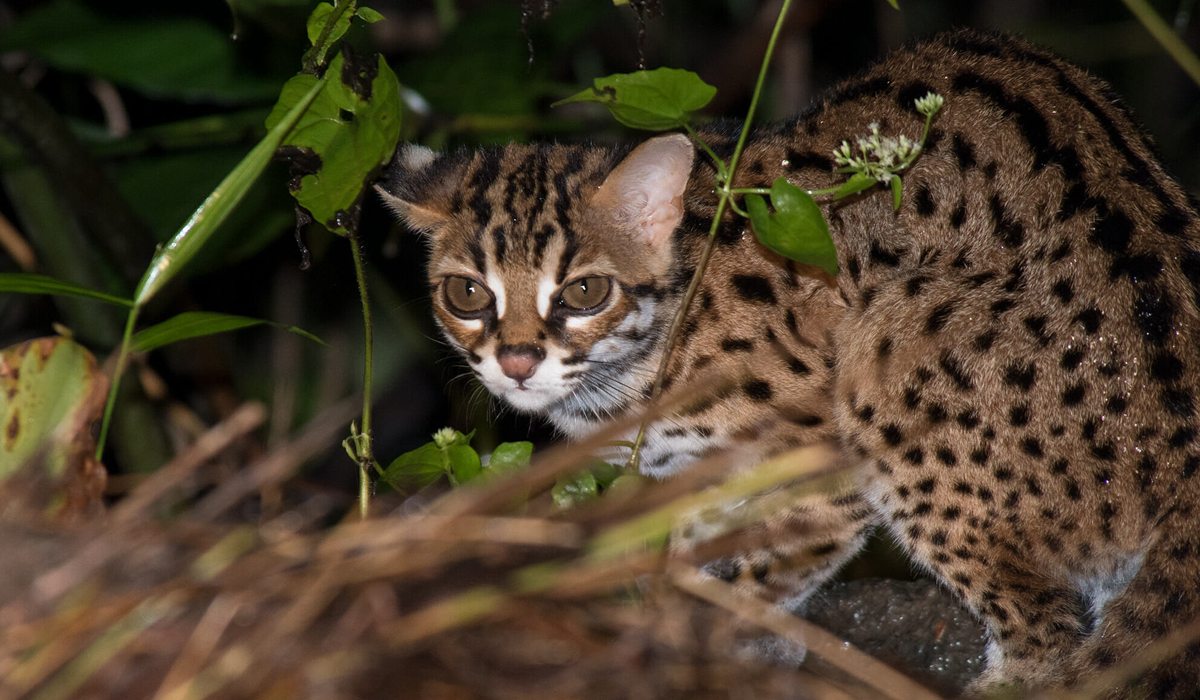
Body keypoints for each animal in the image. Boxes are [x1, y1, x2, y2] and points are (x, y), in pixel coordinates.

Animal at [379, 30, 1200, 696]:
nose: (517, 361)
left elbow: (771, 561)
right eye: (466, 294)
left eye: (584, 292)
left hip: (891, 349)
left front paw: (720, 639)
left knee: (1049, 634)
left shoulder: (819, 455)